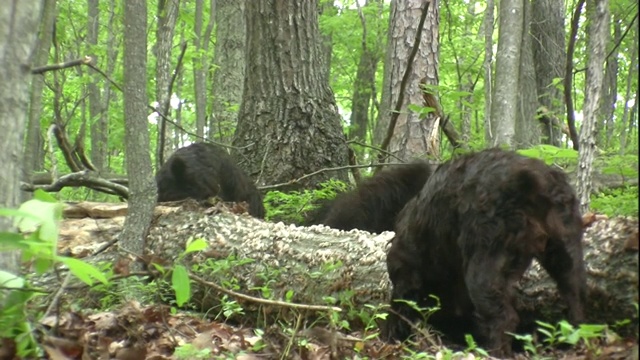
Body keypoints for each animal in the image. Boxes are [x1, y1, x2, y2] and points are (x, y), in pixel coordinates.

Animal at [382, 149, 588, 358]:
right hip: (564, 238)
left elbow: (401, 305)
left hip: (488, 248)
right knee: (575, 290)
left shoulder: (406, 271)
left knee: (501, 314)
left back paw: (494, 352)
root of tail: (531, 179)